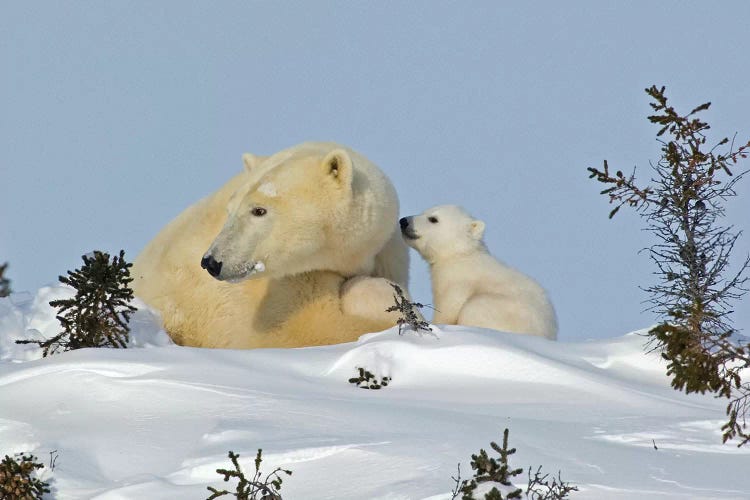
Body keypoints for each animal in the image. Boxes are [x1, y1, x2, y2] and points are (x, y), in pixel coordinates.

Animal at [400, 204, 560, 340]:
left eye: (433, 219)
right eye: (423, 212)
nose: (404, 221)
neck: (460, 255)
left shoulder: (457, 280)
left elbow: (448, 308)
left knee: (475, 306)